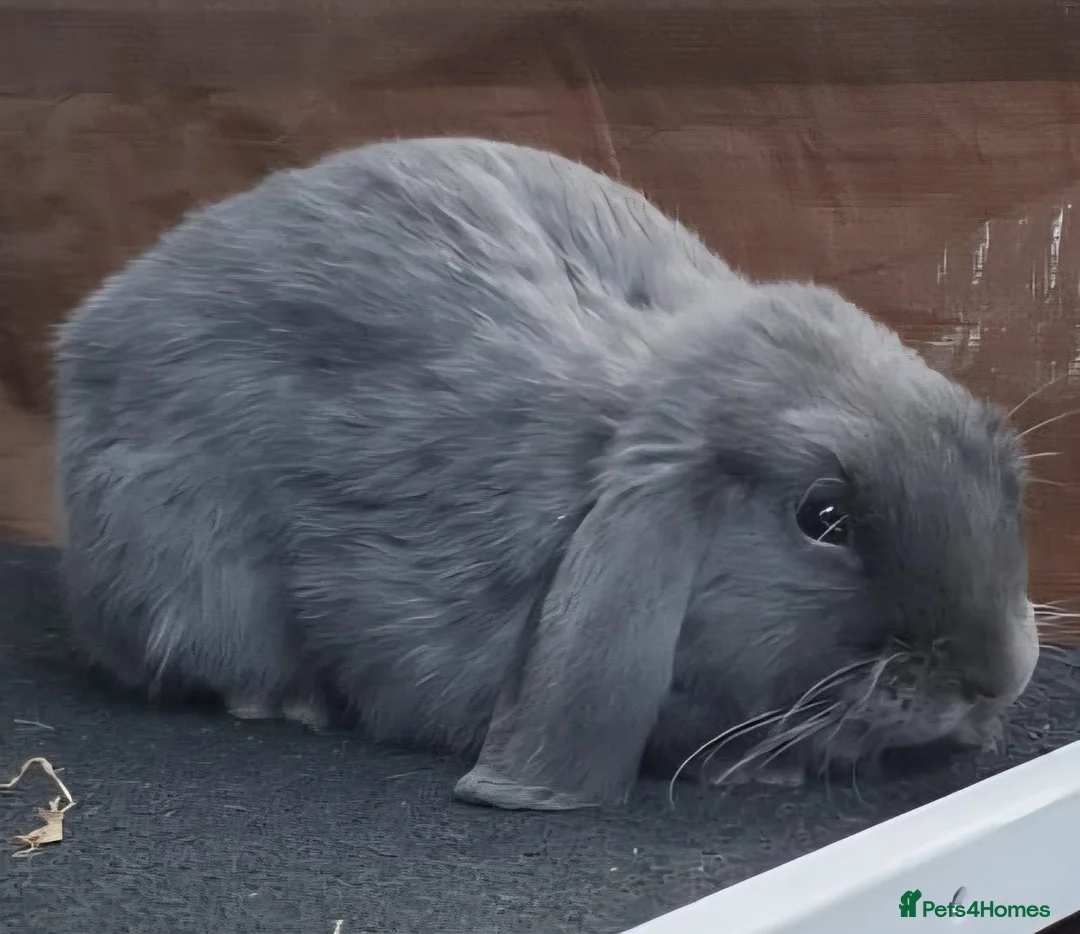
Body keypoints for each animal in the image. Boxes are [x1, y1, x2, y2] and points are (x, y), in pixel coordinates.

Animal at [52, 136, 1039, 811]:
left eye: (1003, 471)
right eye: (823, 516)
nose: (996, 676)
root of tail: (90, 331)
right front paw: (762, 770)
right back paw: (288, 704)